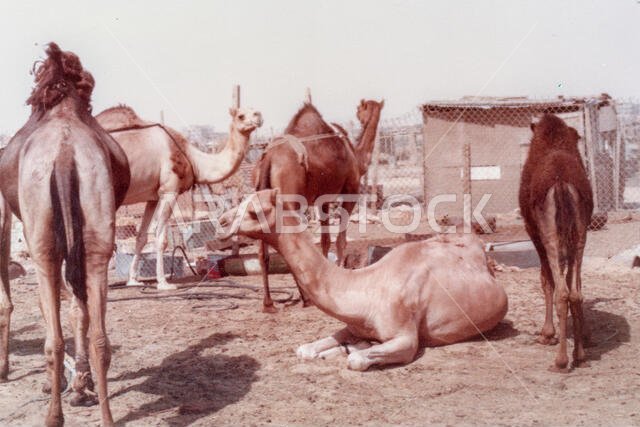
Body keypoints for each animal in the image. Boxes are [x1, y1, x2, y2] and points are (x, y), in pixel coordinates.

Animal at [0, 43, 130, 427]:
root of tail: (64, 154)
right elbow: (79, 309)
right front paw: (81, 387)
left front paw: (66, 386)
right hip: (98, 228)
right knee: (99, 332)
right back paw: (105, 416)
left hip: (41, 241)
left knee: (53, 335)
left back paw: (52, 413)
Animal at [95, 104, 263, 290]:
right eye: (241, 116)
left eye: (254, 110)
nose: (259, 116)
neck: (192, 158)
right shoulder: (169, 190)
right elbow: (161, 238)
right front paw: (163, 283)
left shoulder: (152, 196)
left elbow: (142, 237)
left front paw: (133, 280)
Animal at [218, 189, 508, 370]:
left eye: (254, 211)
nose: (221, 222)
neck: (365, 287)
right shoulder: (353, 323)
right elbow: (305, 349)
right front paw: (336, 348)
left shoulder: (406, 338)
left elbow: (356, 359)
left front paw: (352, 351)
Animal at [253, 100, 383, 312]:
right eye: (361, 109)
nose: (361, 116)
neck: (357, 157)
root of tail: (268, 159)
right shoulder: (350, 190)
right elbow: (340, 239)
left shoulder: (323, 200)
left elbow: (325, 240)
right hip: (290, 198)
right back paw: (306, 299)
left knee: (263, 251)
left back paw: (269, 303)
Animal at [519, 114, 594, 372]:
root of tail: (562, 186)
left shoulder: (533, 231)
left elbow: (546, 280)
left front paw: (546, 333)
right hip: (580, 233)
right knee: (575, 293)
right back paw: (580, 355)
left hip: (549, 233)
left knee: (562, 292)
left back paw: (560, 361)